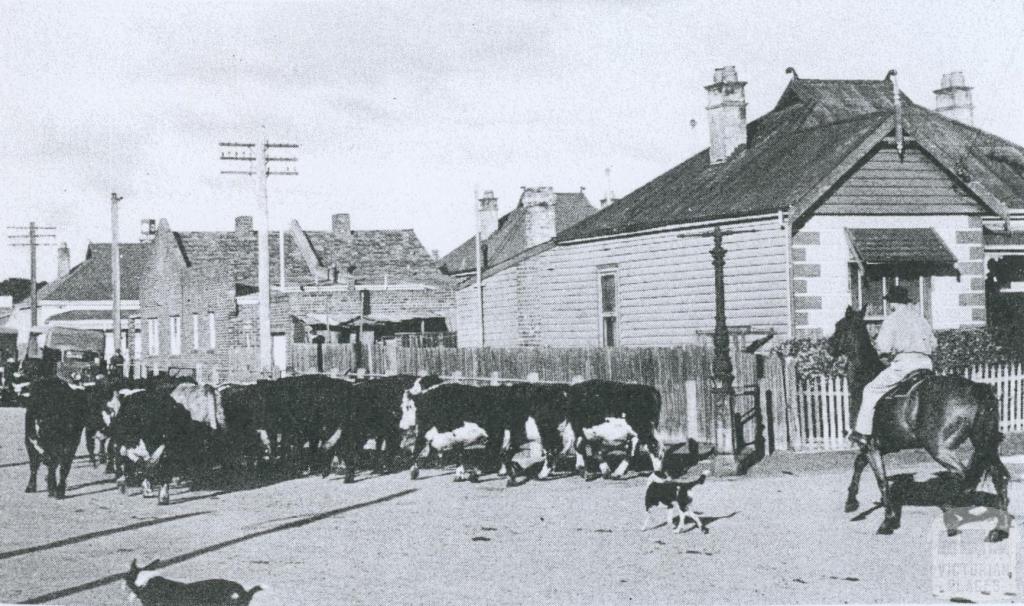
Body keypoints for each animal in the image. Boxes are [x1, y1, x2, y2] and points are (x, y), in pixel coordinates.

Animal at [827, 305, 1011, 540]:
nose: (829, 347)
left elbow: (881, 480)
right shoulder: (881, 445)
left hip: (939, 448)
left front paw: (887, 521)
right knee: (997, 478)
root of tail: (977, 388)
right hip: (983, 444)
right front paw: (851, 502)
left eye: (839, 326)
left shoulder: (871, 445)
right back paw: (998, 530)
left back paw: (950, 513)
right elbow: (859, 463)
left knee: (967, 477)